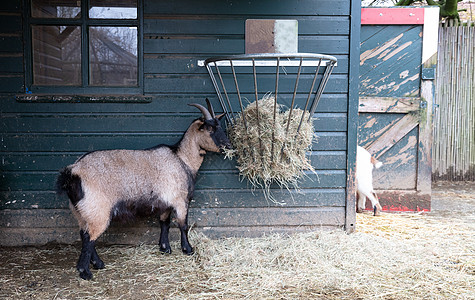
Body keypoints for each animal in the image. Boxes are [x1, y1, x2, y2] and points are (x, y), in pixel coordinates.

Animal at [55, 99, 231, 280]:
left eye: (219, 125)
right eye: (210, 128)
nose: (228, 145)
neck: (182, 159)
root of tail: (73, 172)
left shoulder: (165, 203)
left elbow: (164, 223)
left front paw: (165, 248)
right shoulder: (180, 200)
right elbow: (183, 225)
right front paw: (188, 249)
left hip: (80, 211)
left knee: (84, 235)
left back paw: (98, 264)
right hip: (97, 210)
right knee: (89, 237)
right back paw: (85, 271)